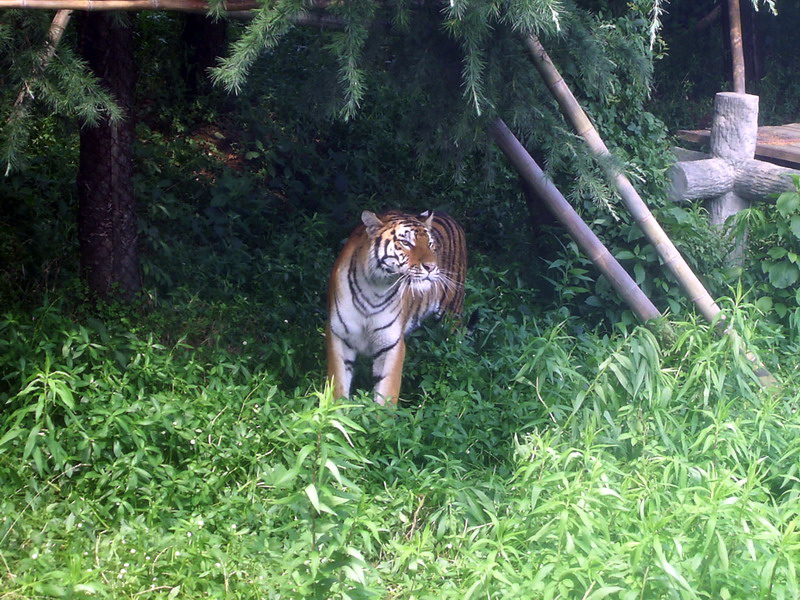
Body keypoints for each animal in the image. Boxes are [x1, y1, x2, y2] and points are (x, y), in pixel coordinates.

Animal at [325, 209, 467, 405]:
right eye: (406, 243)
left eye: (430, 244)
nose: (431, 267)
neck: (375, 289)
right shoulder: (339, 336)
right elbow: (338, 386)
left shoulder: (391, 344)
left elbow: (386, 395)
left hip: (451, 317)